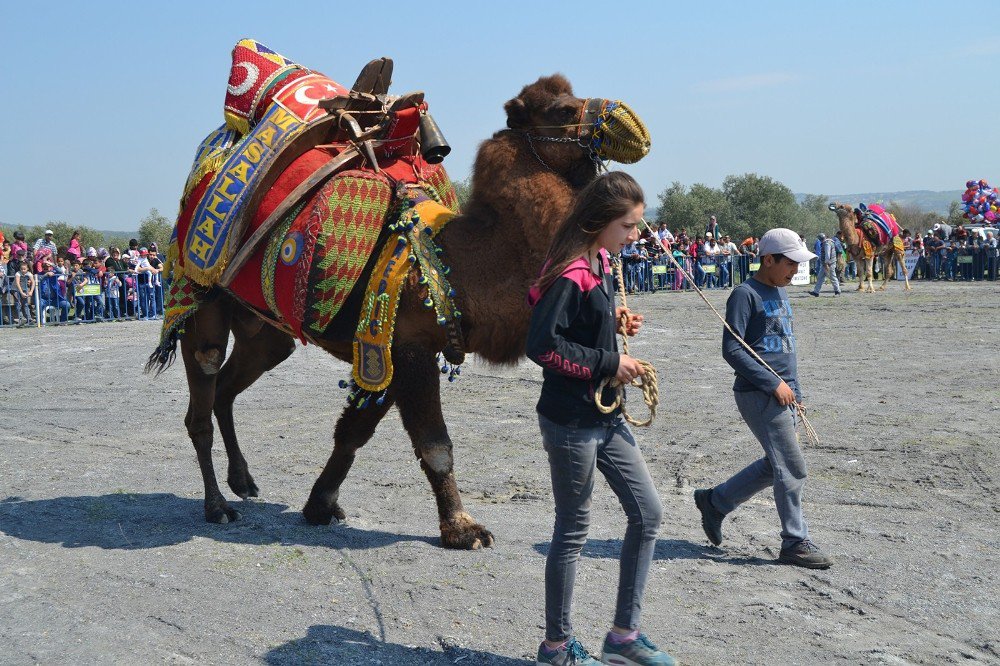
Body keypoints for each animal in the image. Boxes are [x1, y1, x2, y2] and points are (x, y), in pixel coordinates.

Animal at [148, 42, 648, 548]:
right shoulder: (409, 348)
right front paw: (463, 528)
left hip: (266, 333)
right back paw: (218, 506)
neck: (461, 263)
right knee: (202, 401)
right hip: (198, 300)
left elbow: (353, 432)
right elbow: (434, 443)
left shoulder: (382, 349)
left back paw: (244, 481)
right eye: (563, 110)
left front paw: (320, 506)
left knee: (228, 390)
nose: (631, 122)